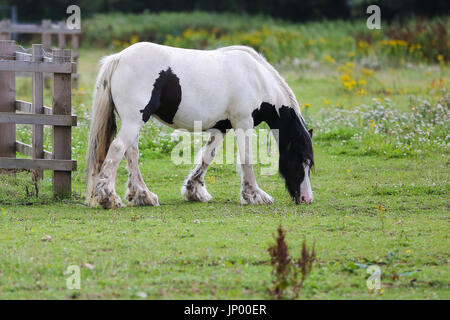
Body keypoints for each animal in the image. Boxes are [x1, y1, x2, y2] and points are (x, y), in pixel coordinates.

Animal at [86, 42, 314, 210]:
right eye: (301, 160)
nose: (306, 198)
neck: (256, 78)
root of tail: (118, 58)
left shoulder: (222, 127)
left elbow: (207, 156)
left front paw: (193, 190)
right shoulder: (243, 123)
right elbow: (246, 158)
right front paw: (255, 195)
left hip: (133, 122)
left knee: (131, 153)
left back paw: (144, 196)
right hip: (134, 121)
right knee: (118, 149)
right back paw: (108, 198)